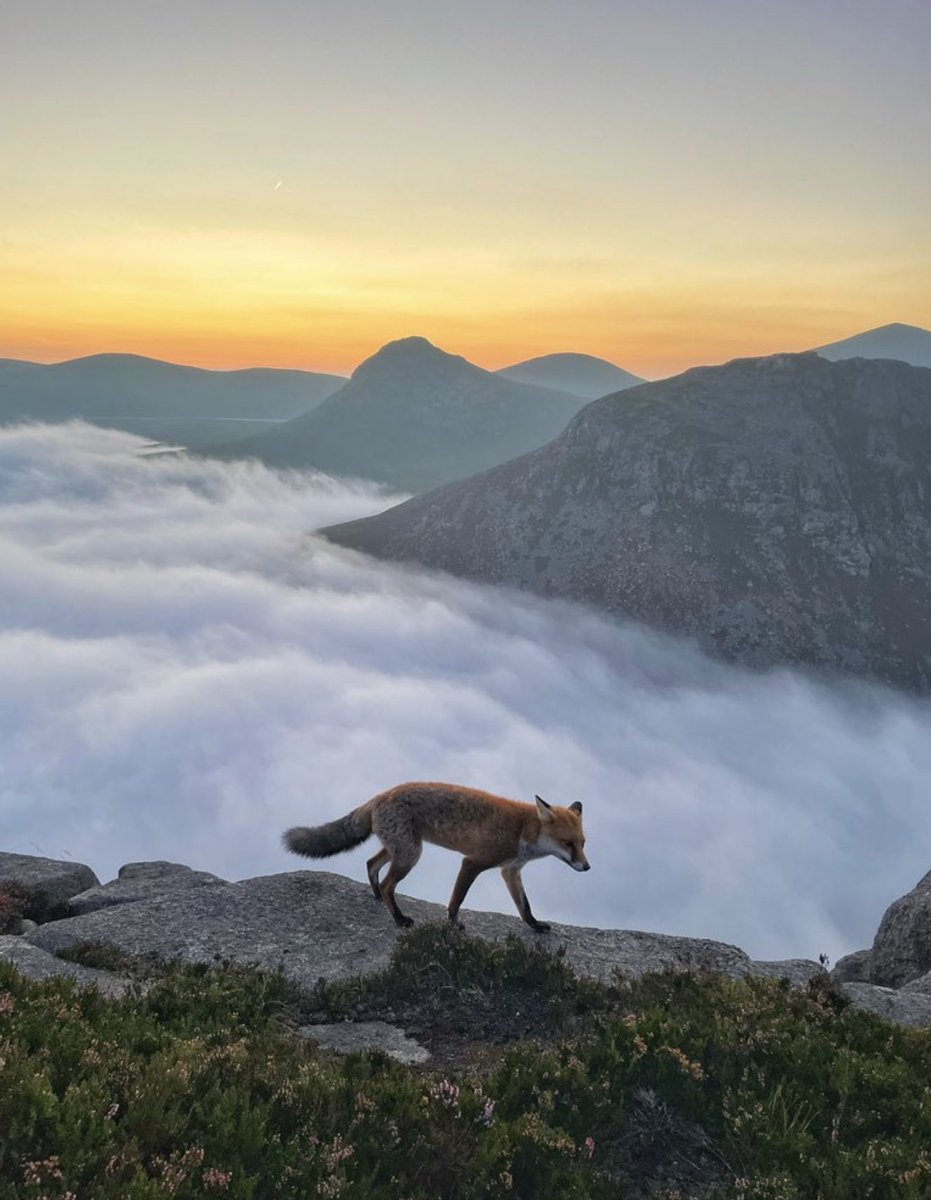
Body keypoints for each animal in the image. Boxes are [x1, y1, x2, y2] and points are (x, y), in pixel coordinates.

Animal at [283, 781, 590, 932]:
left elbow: (524, 906)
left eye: (583, 843)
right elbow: (456, 900)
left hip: (401, 849)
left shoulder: (510, 870)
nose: (587, 867)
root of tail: (380, 796)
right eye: (567, 843)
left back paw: (376, 896)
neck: (523, 831)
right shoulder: (473, 862)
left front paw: (535, 925)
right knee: (388, 884)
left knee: (371, 865)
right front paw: (452, 924)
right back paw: (399, 919)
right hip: (411, 854)